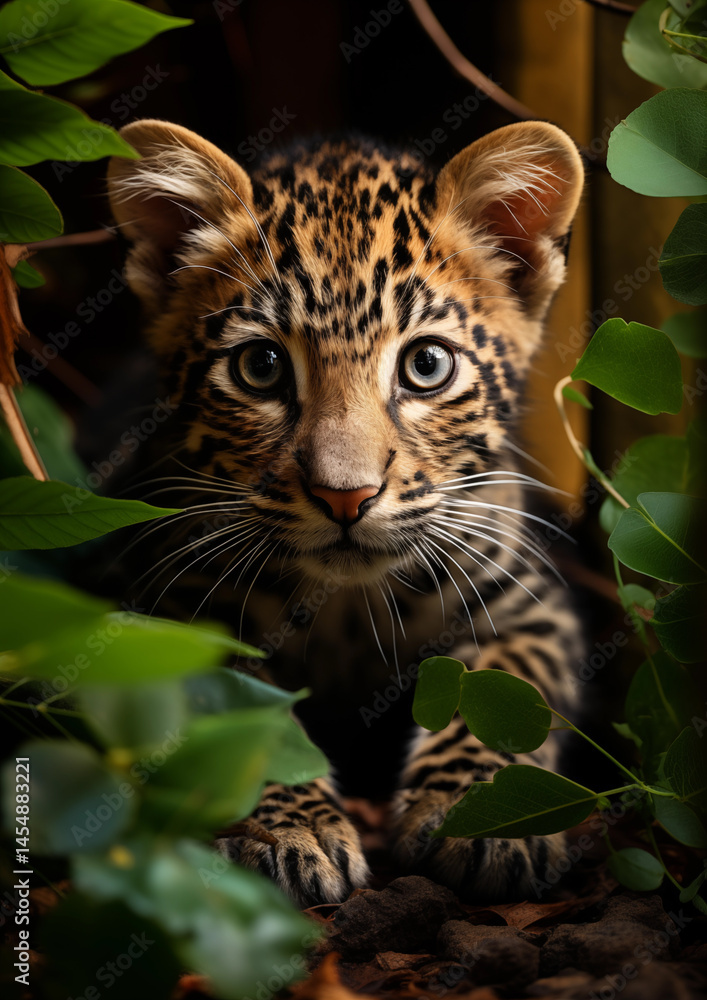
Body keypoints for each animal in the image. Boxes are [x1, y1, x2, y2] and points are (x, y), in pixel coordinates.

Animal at [106, 116, 585, 908]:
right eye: (260, 368)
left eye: (426, 366)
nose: (344, 496)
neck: (348, 608)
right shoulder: (178, 611)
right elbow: (239, 711)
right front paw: (290, 832)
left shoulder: (526, 605)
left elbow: (501, 700)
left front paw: (489, 820)